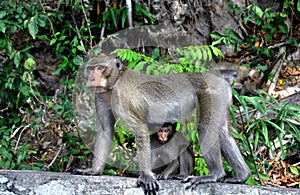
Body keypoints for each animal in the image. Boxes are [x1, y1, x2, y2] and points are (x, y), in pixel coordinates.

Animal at [75, 53, 251, 193]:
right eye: (91, 68)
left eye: (100, 68)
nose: (91, 78)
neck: (114, 82)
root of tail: (215, 76)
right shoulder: (100, 96)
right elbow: (105, 129)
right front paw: (94, 171)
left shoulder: (125, 97)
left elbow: (140, 129)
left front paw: (146, 176)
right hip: (221, 97)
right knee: (222, 133)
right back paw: (242, 176)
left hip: (211, 94)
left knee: (206, 128)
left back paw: (214, 174)